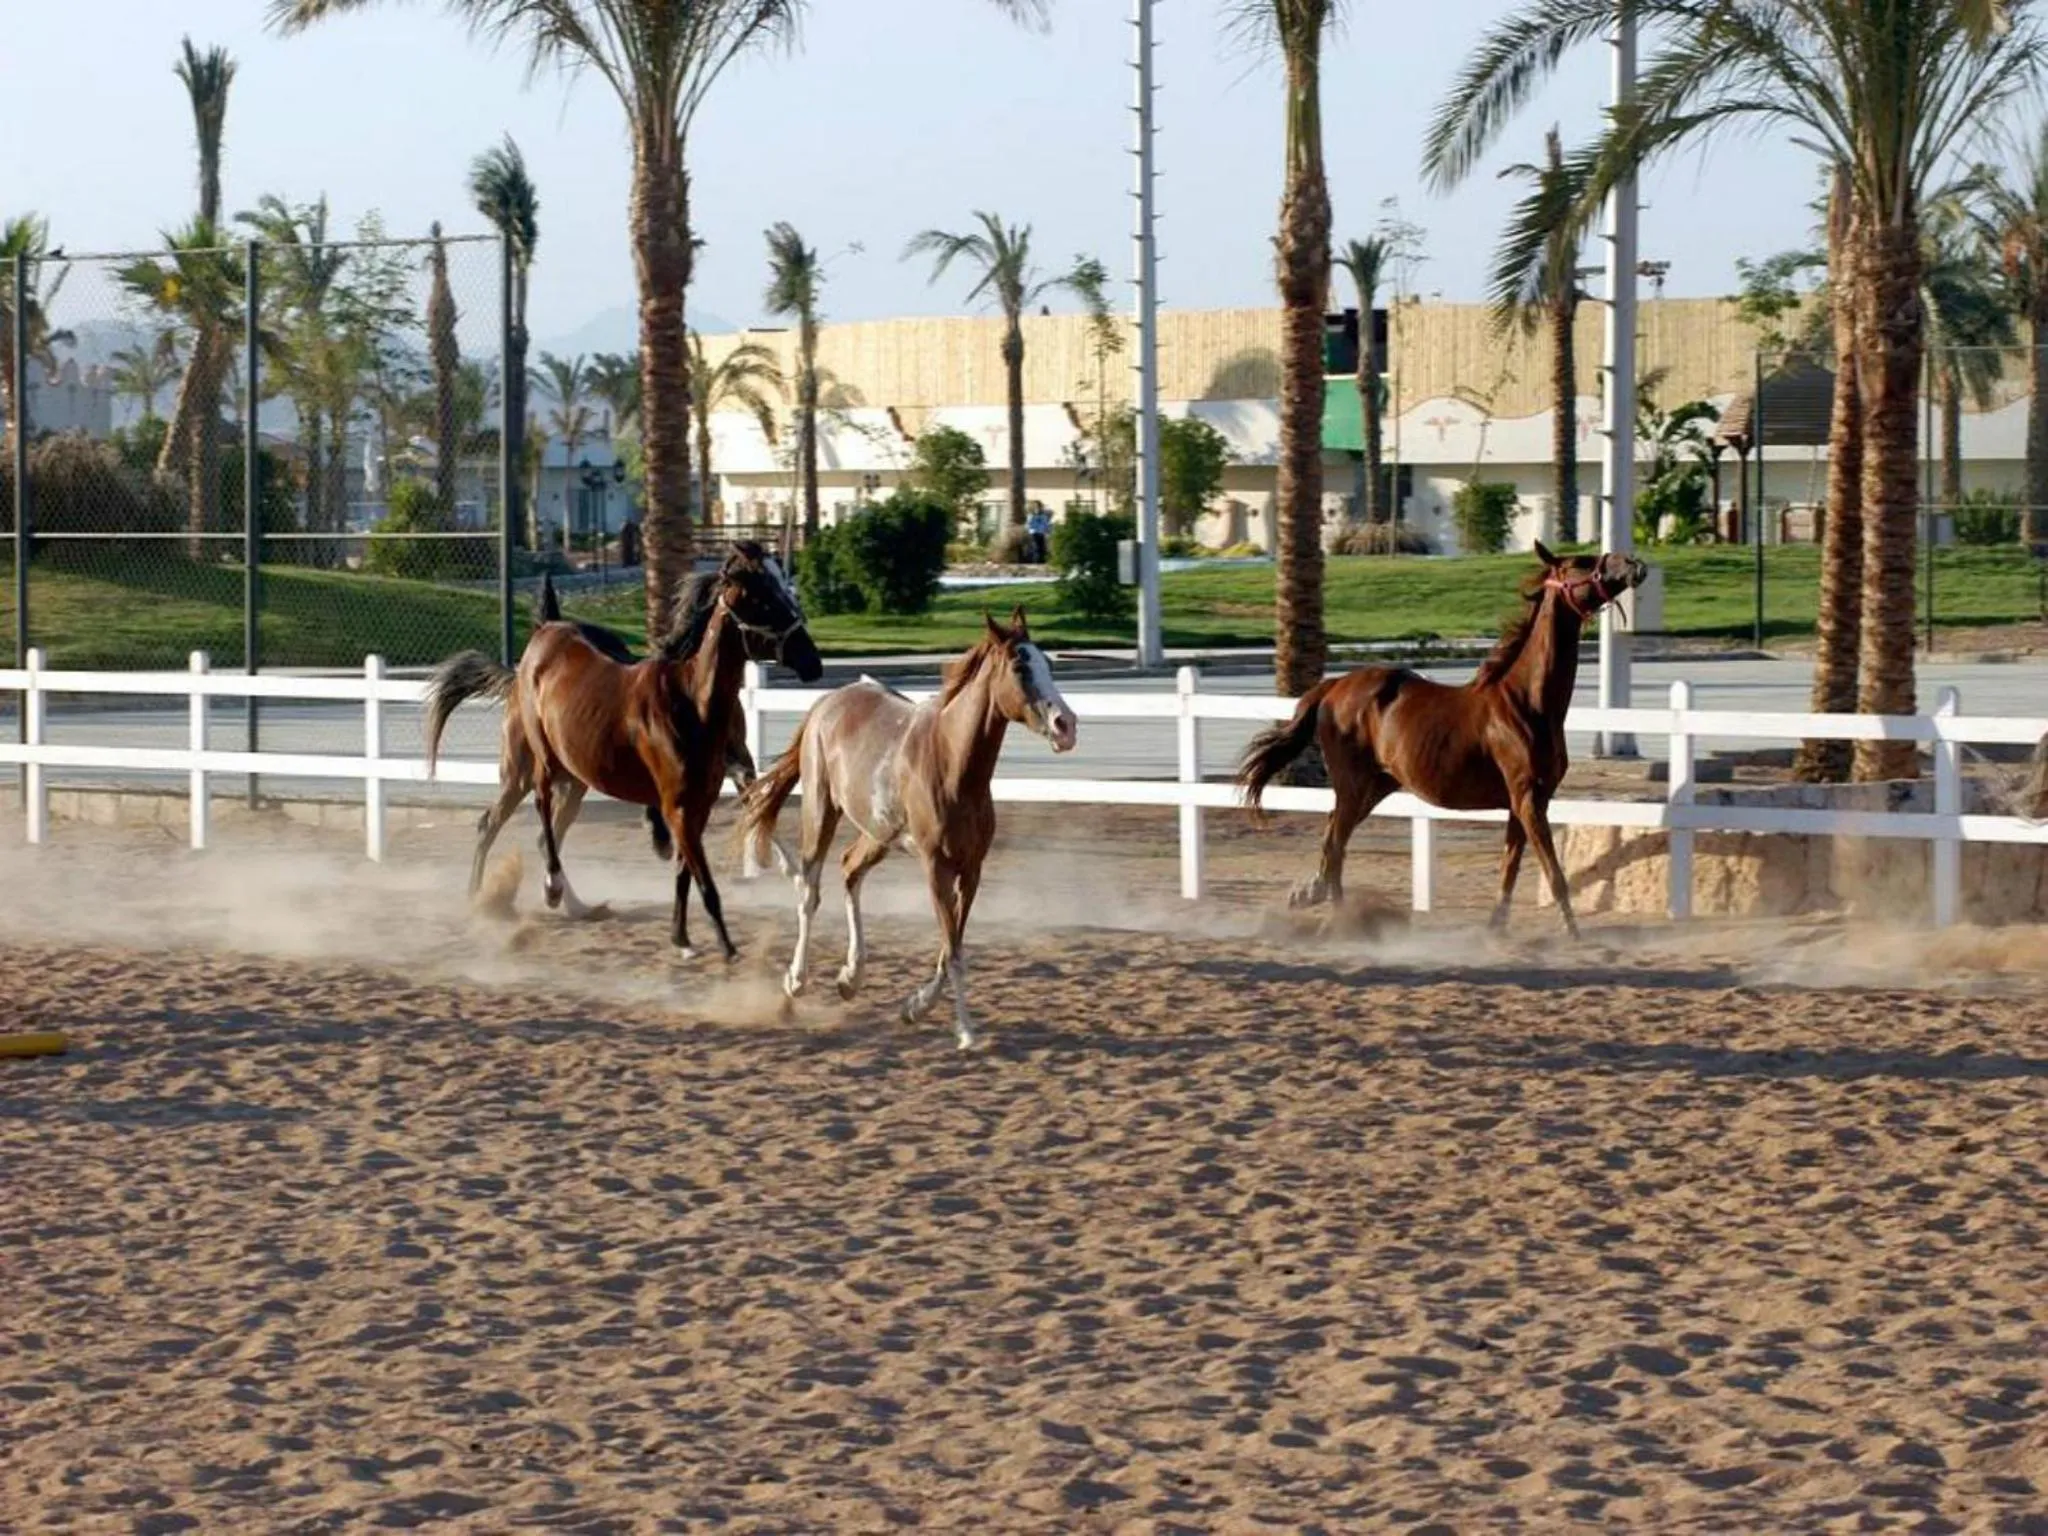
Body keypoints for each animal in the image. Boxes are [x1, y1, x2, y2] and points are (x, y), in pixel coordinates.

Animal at [532, 548, 825, 875]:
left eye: (788, 590)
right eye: (765, 600)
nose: (813, 662)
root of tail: (552, 625)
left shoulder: (738, 758)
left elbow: (755, 800)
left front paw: (790, 866)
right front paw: (659, 834)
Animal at [738, 608, 1078, 1050]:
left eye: (1048, 664)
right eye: (1020, 666)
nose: (1066, 725)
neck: (951, 764)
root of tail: (826, 703)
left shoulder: (971, 869)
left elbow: (952, 945)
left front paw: (914, 1008)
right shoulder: (935, 866)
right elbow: (953, 950)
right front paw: (965, 1032)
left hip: (877, 834)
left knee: (849, 869)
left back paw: (850, 978)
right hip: (821, 809)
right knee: (809, 888)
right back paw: (795, 983)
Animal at [1235, 542, 1647, 938]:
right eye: (1582, 562)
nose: (1633, 563)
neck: (1526, 703)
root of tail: (1333, 687)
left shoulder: (1526, 801)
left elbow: (1509, 868)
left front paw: (1496, 928)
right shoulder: (1528, 798)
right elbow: (1554, 874)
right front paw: (1573, 933)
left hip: (1376, 785)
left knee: (1333, 838)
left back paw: (1312, 895)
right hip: (1354, 784)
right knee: (1336, 846)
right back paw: (1342, 920)